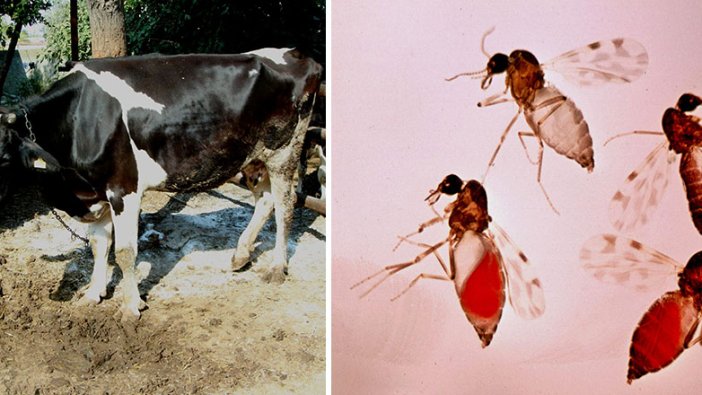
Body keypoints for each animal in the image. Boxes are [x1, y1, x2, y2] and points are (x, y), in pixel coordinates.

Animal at [0, 47, 324, 318]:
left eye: (3, 158)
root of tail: (297, 54)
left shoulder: (124, 188)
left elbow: (125, 252)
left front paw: (131, 306)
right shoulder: (97, 192)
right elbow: (98, 245)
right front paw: (93, 293)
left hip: (284, 150)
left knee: (285, 206)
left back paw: (277, 267)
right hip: (251, 156)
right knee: (265, 200)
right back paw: (241, 255)